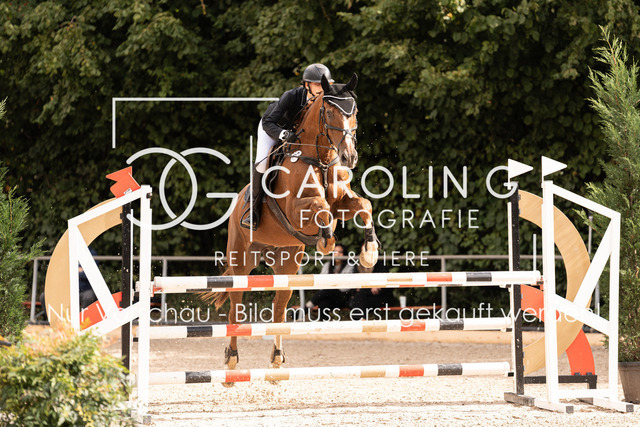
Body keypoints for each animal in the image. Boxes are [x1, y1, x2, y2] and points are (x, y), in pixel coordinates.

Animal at [208, 73, 378, 384]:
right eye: (329, 112)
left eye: (355, 111)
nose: (349, 157)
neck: (320, 159)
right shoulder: (297, 211)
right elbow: (321, 210)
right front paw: (325, 242)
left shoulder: (342, 203)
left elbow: (364, 206)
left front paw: (369, 254)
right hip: (241, 259)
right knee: (236, 306)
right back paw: (232, 361)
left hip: (285, 263)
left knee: (279, 308)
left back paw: (277, 361)